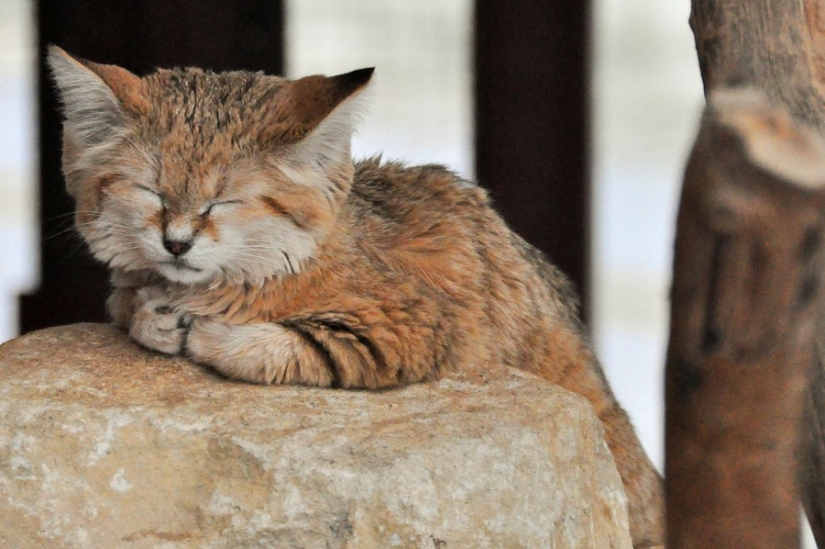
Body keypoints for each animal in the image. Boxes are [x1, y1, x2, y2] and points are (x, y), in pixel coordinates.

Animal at [46, 46, 664, 544]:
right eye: (150, 191)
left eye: (223, 202)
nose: (175, 242)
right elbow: (129, 303)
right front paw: (154, 315)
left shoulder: (410, 326)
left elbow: (285, 346)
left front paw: (202, 329)